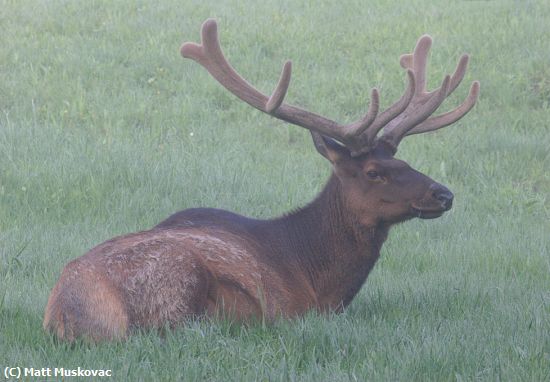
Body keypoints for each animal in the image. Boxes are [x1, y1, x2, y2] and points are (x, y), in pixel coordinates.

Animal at [45, 18, 480, 340]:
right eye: (375, 172)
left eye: (404, 161)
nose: (444, 194)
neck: (319, 278)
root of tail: (65, 311)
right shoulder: (294, 309)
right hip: (178, 283)